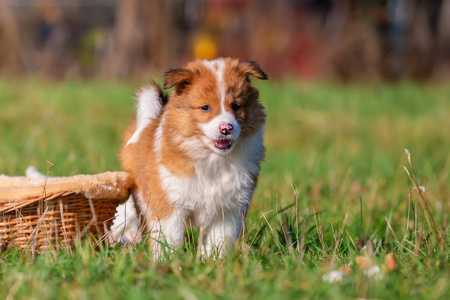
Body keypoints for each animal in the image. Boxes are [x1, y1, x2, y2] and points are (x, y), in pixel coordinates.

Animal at [118, 56, 268, 258]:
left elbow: (219, 241)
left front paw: (212, 261)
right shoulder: (170, 204)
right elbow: (170, 239)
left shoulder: (229, 209)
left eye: (236, 106)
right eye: (205, 107)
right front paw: (167, 261)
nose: (226, 128)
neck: (211, 160)